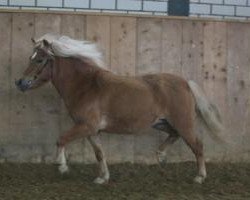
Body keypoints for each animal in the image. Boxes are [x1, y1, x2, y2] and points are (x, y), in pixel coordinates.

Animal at [15, 32, 225, 184]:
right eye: (30, 57)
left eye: (39, 60)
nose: (20, 82)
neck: (86, 85)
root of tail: (185, 83)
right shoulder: (92, 130)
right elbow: (99, 153)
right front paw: (102, 178)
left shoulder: (86, 126)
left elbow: (61, 139)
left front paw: (62, 166)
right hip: (161, 123)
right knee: (174, 135)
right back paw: (161, 156)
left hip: (183, 123)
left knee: (197, 145)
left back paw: (199, 176)